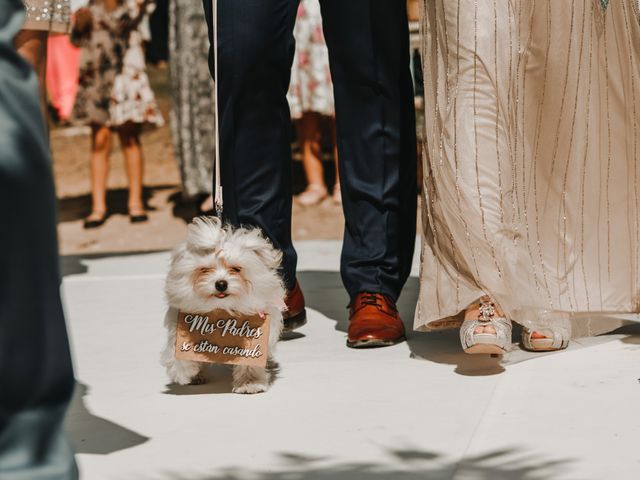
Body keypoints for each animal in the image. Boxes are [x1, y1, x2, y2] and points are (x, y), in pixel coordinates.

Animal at [161, 218, 286, 394]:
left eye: (236, 269)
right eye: (204, 270)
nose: (221, 284)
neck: (222, 308)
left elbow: (250, 361)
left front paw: (250, 383)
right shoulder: (182, 323)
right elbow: (177, 353)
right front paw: (186, 373)